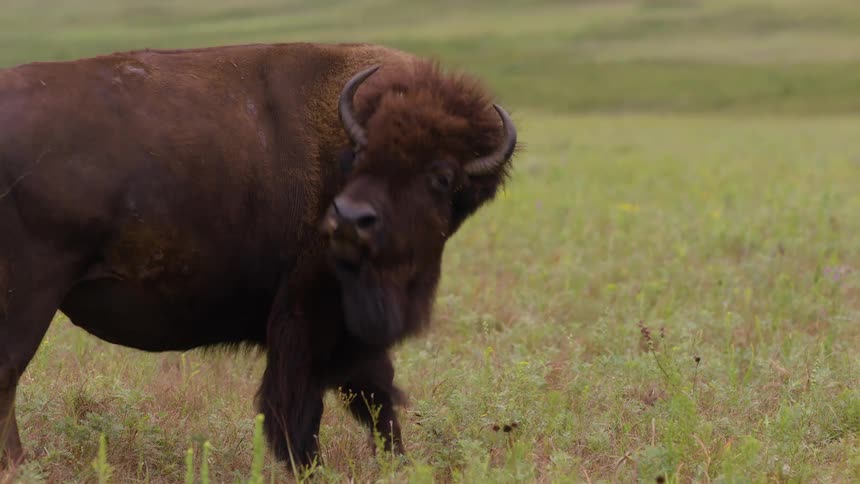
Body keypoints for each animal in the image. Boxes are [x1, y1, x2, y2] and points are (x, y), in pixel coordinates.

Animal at [0, 42, 516, 469]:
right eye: (360, 154)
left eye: (442, 178)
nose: (350, 219)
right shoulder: (309, 316)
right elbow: (303, 404)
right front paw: (308, 467)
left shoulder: (351, 330)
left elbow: (375, 395)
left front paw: (397, 464)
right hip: (31, 298)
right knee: (8, 375)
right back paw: (20, 465)